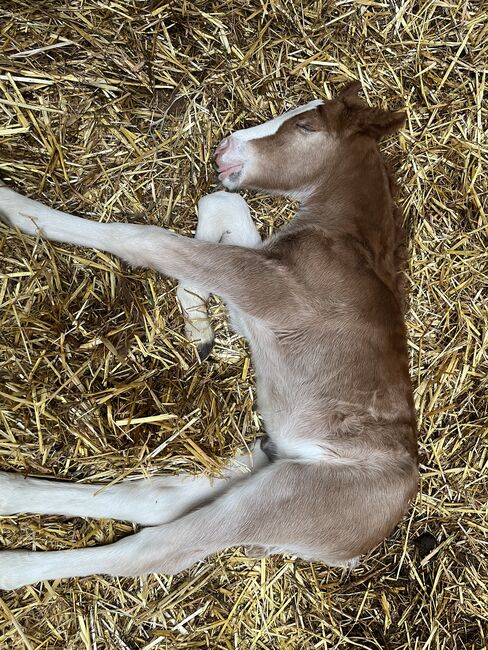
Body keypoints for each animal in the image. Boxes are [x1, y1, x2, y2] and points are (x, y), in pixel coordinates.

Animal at [0, 82, 420, 588]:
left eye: (305, 126)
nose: (225, 149)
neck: (345, 240)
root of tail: (362, 545)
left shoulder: (268, 289)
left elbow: (148, 240)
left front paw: (20, 210)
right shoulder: (254, 295)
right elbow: (221, 203)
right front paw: (198, 324)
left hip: (281, 497)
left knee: (154, 549)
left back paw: (12, 567)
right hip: (252, 466)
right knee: (153, 500)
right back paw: (8, 491)